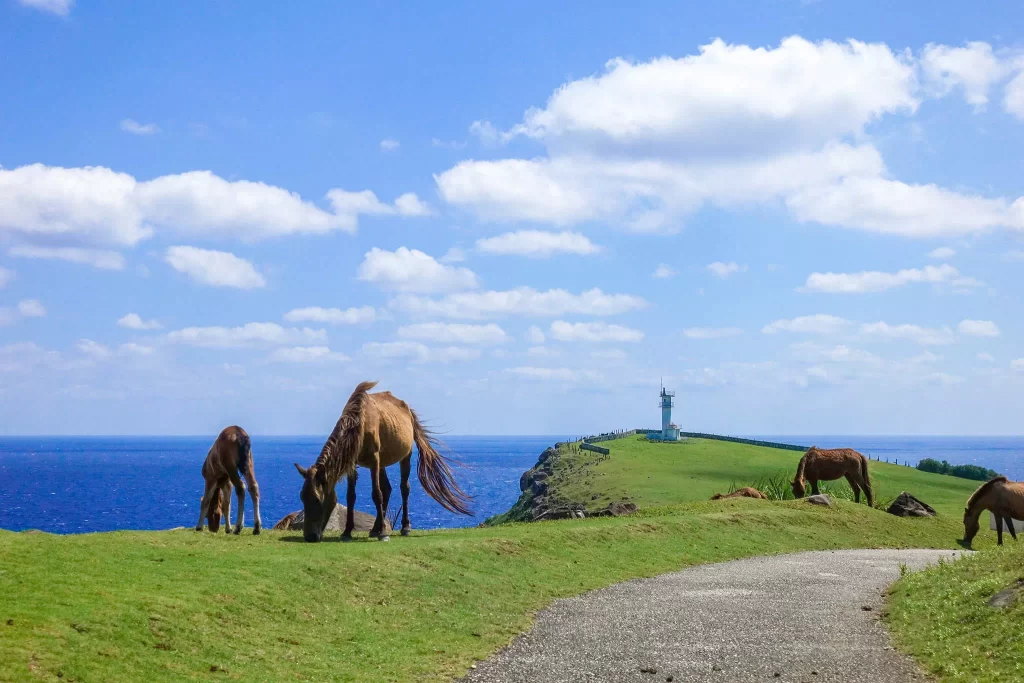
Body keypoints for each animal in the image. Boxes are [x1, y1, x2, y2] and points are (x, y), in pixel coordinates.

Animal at [294, 378, 473, 544]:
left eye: (317, 499)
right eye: (302, 497)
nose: (310, 536)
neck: (360, 422)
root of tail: (408, 410)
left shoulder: (374, 459)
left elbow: (376, 494)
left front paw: (384, 534)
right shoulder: (353, 463)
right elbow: (352, 496)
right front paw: (347, 532)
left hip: (403, 457)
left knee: (404, 488)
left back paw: (404, 527)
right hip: (383, 462)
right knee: (387, 489)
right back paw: (375, 528)